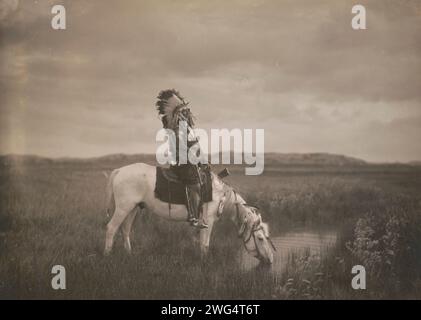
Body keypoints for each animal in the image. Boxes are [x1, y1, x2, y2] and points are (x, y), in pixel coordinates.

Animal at [104, 164, 274, 264]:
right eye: (260, 238)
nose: (270, 260)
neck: (221, 195)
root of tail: (119, 171)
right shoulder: (208, 221)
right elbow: (205, 244)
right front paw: (204, 263)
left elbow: (201, 243)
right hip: (123, 208)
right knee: (111, 228)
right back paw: (107, 255)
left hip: (132, 208)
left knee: (125, 230)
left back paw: (129, 254)